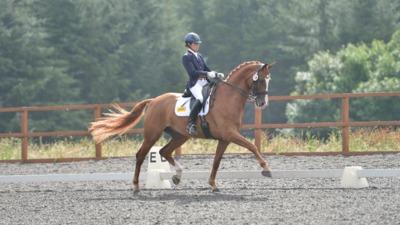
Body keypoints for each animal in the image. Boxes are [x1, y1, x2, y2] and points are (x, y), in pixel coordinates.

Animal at [88, 60, 276, 192]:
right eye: (260, 79)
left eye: (269, 80)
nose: (263, 103)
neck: (229, 98)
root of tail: (154, 101)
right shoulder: (230, 134)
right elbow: (252, 146)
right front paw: (266, 170)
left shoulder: (225, 138)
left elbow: (216, 161)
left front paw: (213, 184)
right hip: (152, 134)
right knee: (140, 155)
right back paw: (136, 186)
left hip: (180, 136)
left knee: (164, 152)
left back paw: (177, 176)